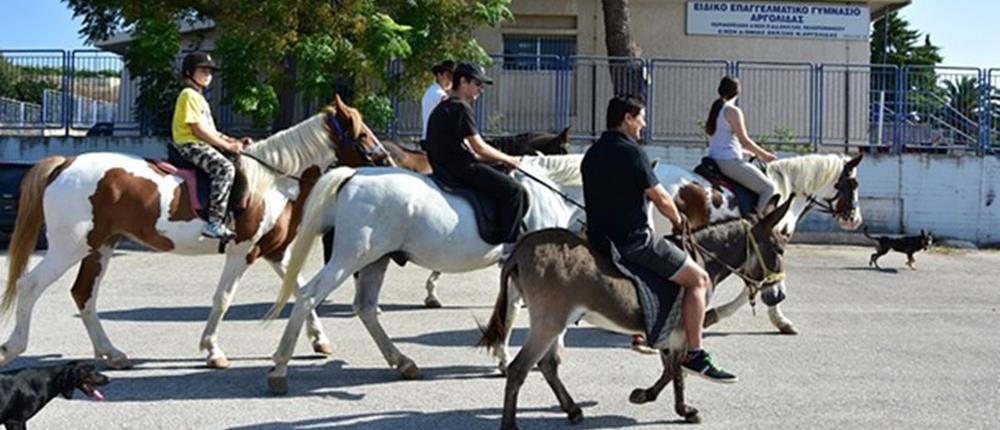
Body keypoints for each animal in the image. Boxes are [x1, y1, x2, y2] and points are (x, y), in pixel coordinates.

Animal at [0, 95, 390, 368]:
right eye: (362, 132)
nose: (386, 160)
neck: (275, 181)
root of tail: (65, 163)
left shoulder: (274, 252)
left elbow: (299, 288)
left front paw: (320, 341)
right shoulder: (241, 251)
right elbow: (223, 299)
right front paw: (212, 350)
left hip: (100, 247)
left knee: (84, 295)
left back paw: (111, 352)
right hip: (69, 247)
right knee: (30, 286)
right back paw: (13, 347)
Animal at [266, 155, 584, 394]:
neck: (551, 193)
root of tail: (353, 175)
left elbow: (509, 312)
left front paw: (508, 357)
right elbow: (521, 313)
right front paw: (531, 357)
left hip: (375, 260)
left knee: (365, 307)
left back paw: (403, 362)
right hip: (350, 258)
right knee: (308, 296)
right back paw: (280, 368)